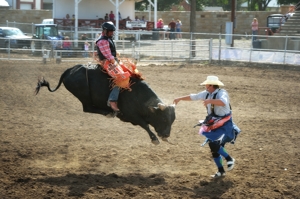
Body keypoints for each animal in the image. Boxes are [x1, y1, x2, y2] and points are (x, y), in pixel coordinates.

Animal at [35, 64, 176, 144]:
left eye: (172, 120)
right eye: (163, 119)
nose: (166, 135)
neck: (137, 93)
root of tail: (69, 70)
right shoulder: (132, 115)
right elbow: (145, 125)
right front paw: (154, 139)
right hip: (84, 95)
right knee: (87, 108)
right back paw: (109, 112)